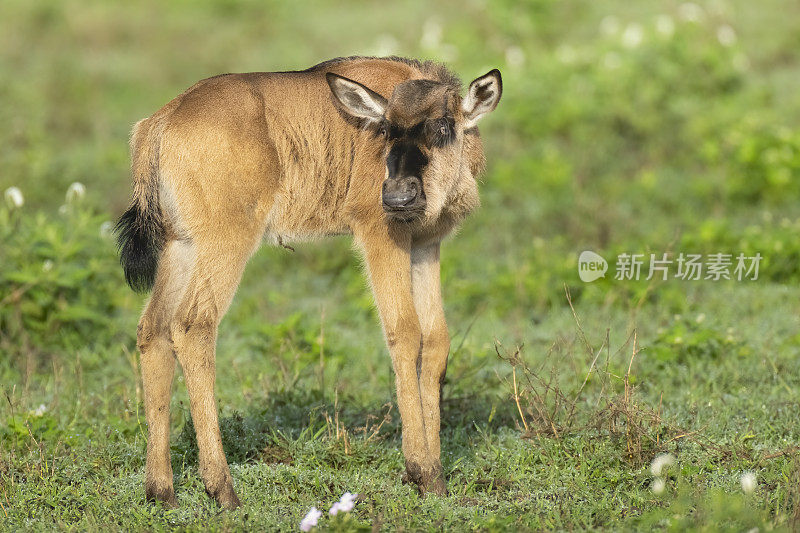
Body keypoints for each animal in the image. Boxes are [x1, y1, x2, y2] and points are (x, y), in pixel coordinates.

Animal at [114, 55, 500, 508]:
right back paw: (222, 489)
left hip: (182, 246)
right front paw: (419, 469)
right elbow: (404, 332)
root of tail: (162, 120)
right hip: (225, 243)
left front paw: (436, 479)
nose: (397, 198)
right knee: (193, 326)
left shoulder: (425, 244)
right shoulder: (380, 235)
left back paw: (162, 491)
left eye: (442, 126)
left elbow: (436, 339)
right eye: (385, 130)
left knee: (153, 331)